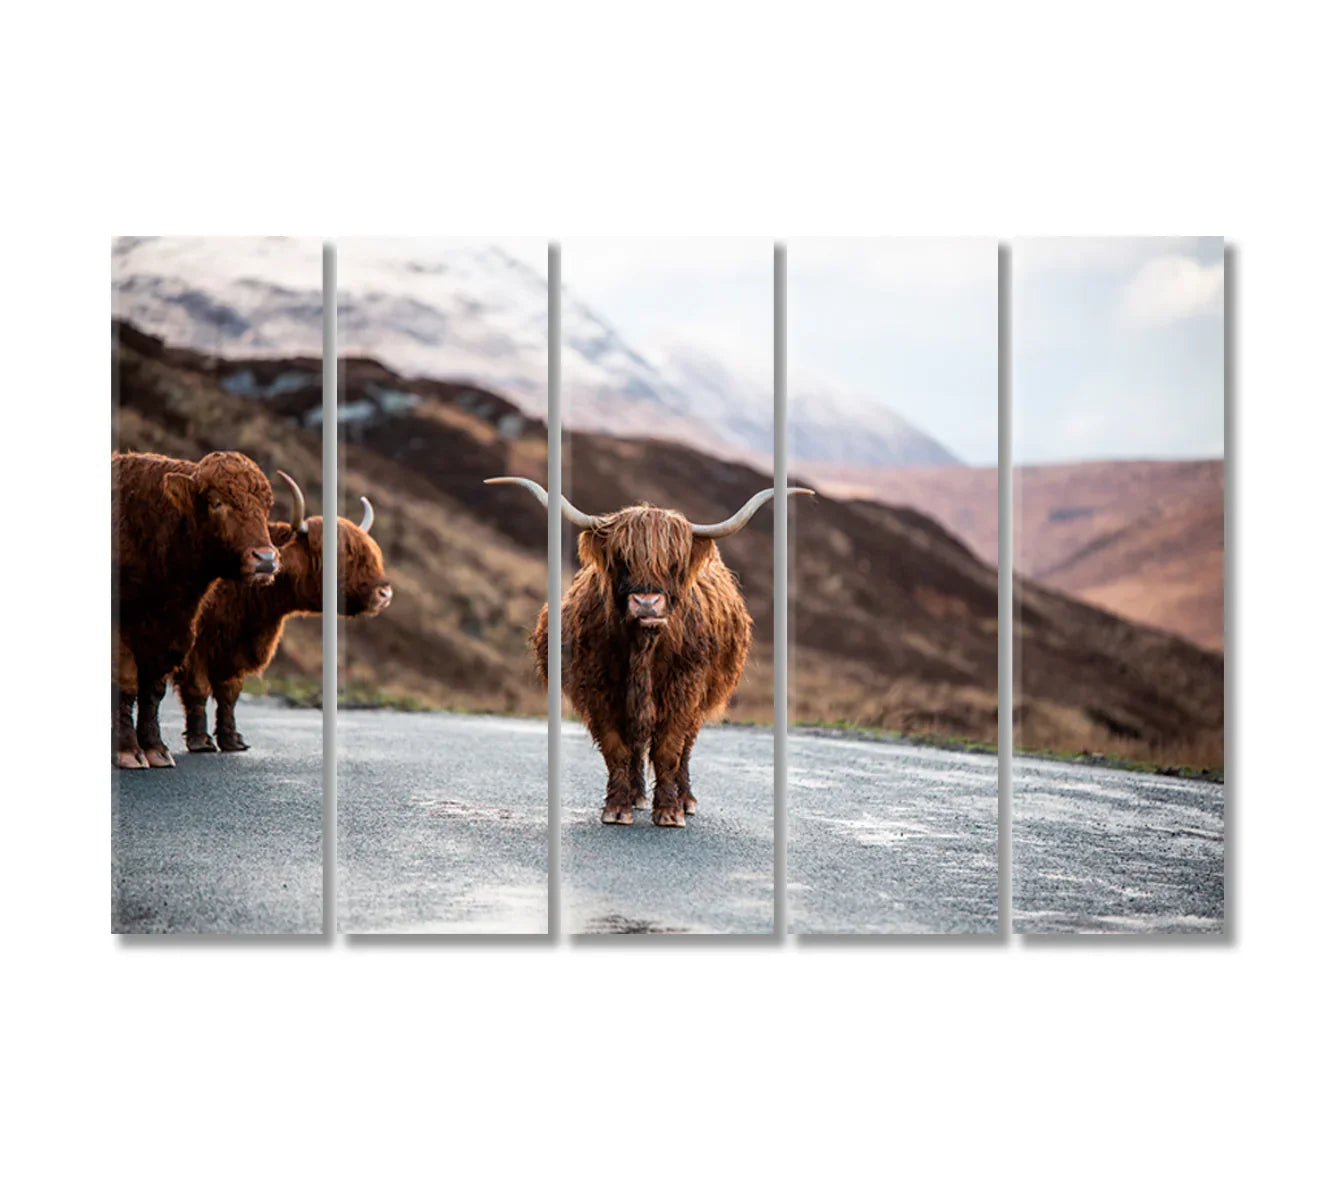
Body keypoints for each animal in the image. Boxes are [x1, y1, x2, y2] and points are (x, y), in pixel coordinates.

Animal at [113, 450, 280, 769]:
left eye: (266, 507)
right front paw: (128, 751)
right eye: (216, 502)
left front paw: (155, 749)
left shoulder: (172, 635)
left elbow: (152, 690)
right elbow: (126, 683)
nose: (265, 559)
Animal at [173, 472, 393, 753]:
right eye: (339, 555)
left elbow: (229, 693)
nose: (384, 593)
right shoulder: (196, 647)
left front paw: (232, 739)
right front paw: (201, 741)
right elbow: (198, 688)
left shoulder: (235, 648)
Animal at [487, 477, 813, 827]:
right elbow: (616, 747)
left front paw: (669, 811)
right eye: (621, 558)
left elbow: (669, 749)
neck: (643, 647)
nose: (646, 604)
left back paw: (686, 799)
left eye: (674, 564)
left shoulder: (684, 689)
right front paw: (618, 808)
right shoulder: (600, 691)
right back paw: (636, 795)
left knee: (685, 749)